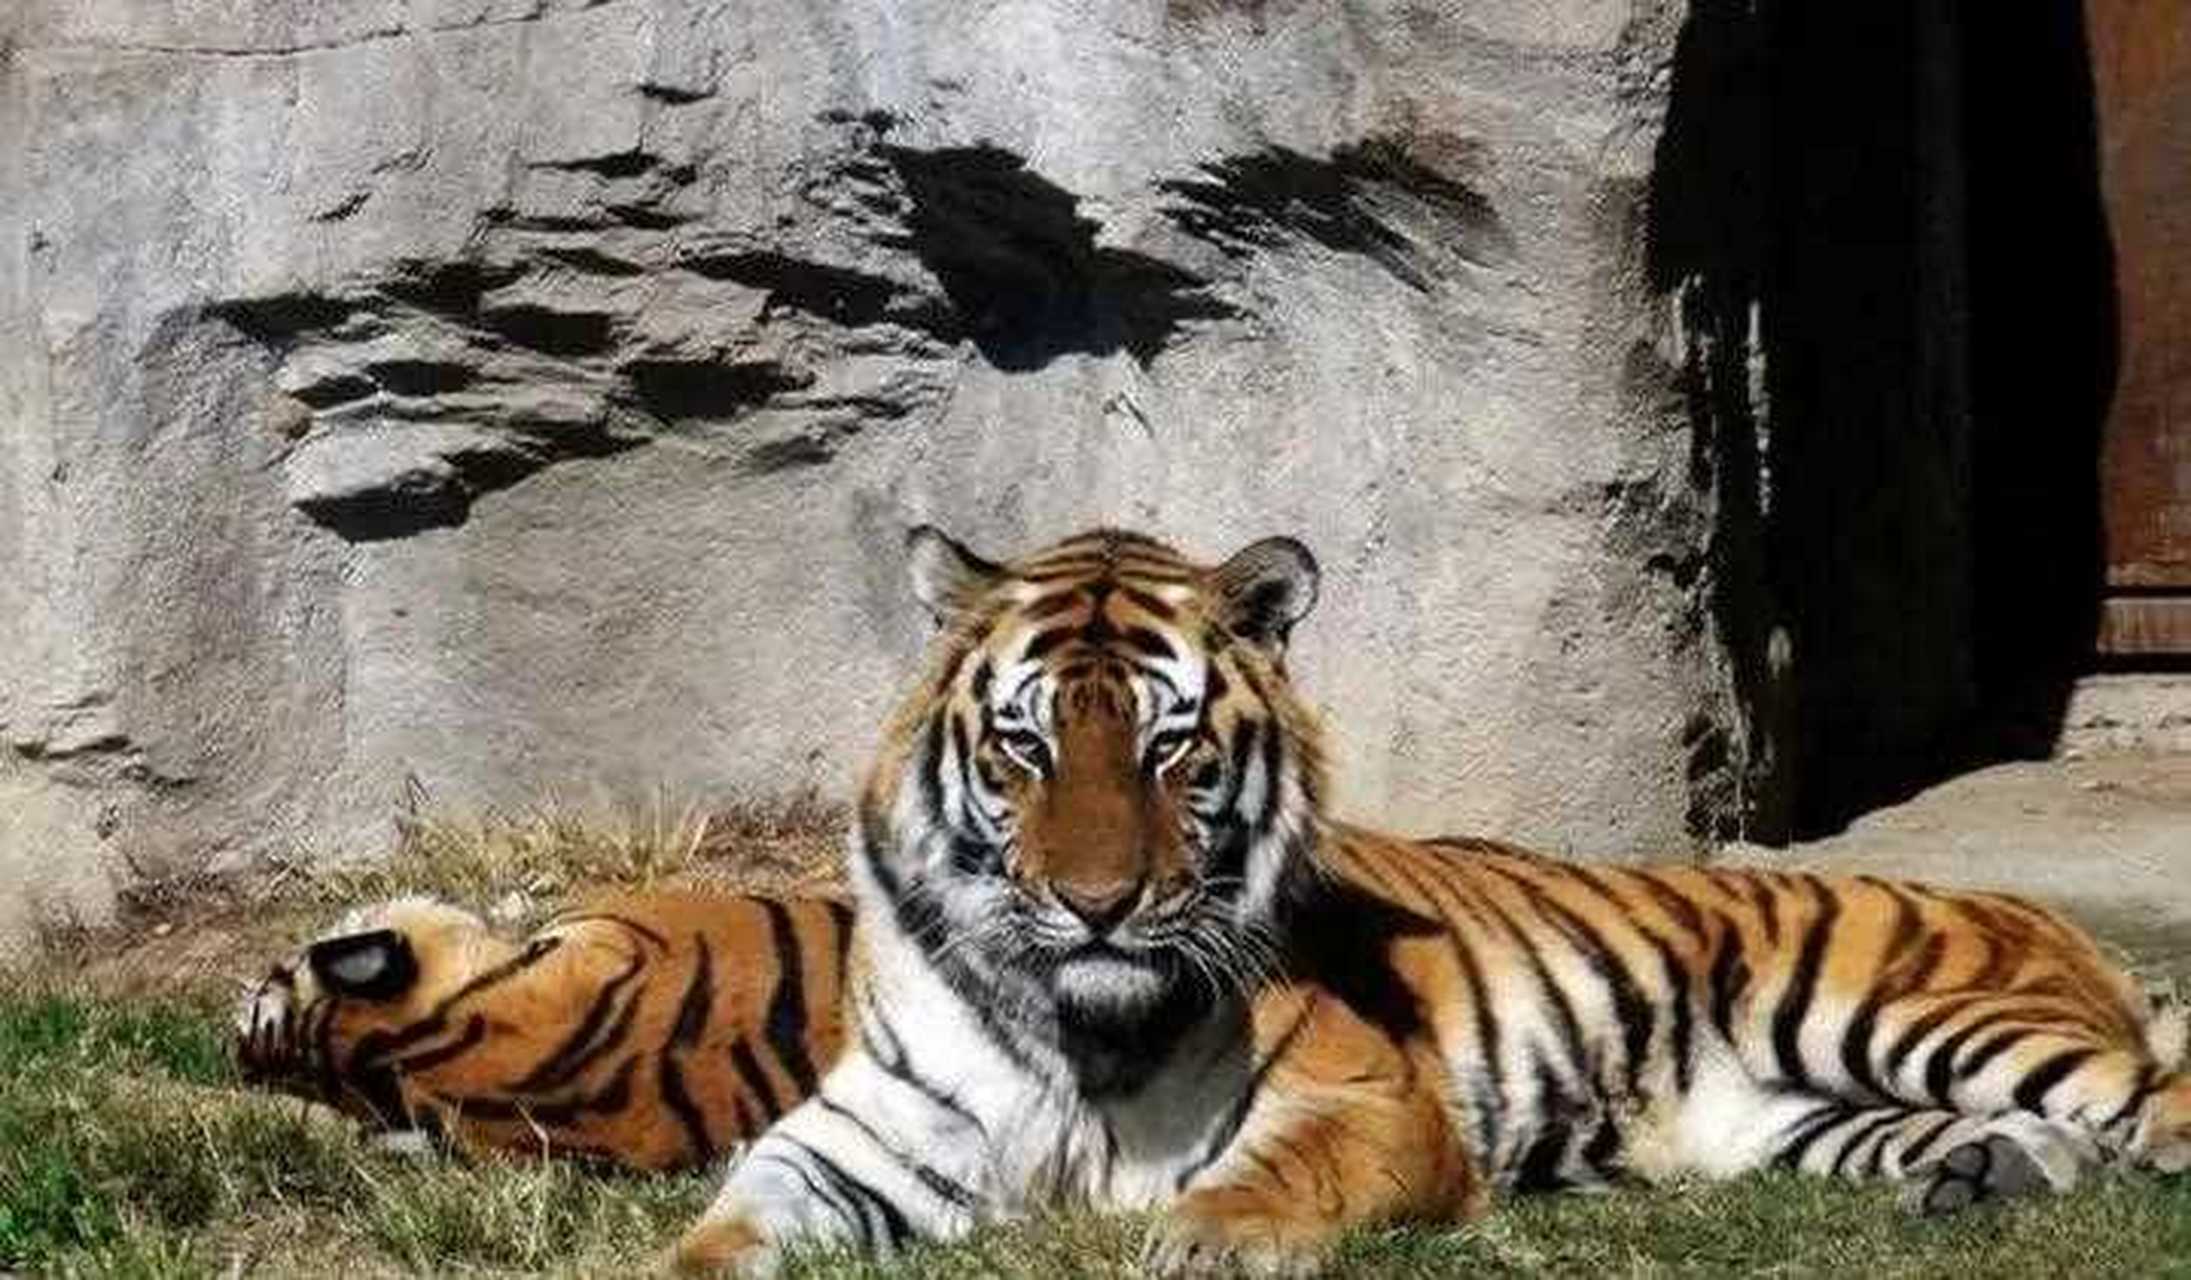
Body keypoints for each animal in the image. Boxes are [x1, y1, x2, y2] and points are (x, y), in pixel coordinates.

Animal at [673, 525, 2191, 1276]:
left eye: (1168, 748)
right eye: (1024, 747)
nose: (1096, 903)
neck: (1077, 1021)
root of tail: (2043, 913)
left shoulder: (1368, 1100)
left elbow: (1263, 1180)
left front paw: (1195, 1240)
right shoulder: (867, 1126)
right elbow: (734, 1224)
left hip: (1916, 1018)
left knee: (2148, 1105)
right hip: (1803, 1115)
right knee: (2041, 1140)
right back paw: (1985, 1177)